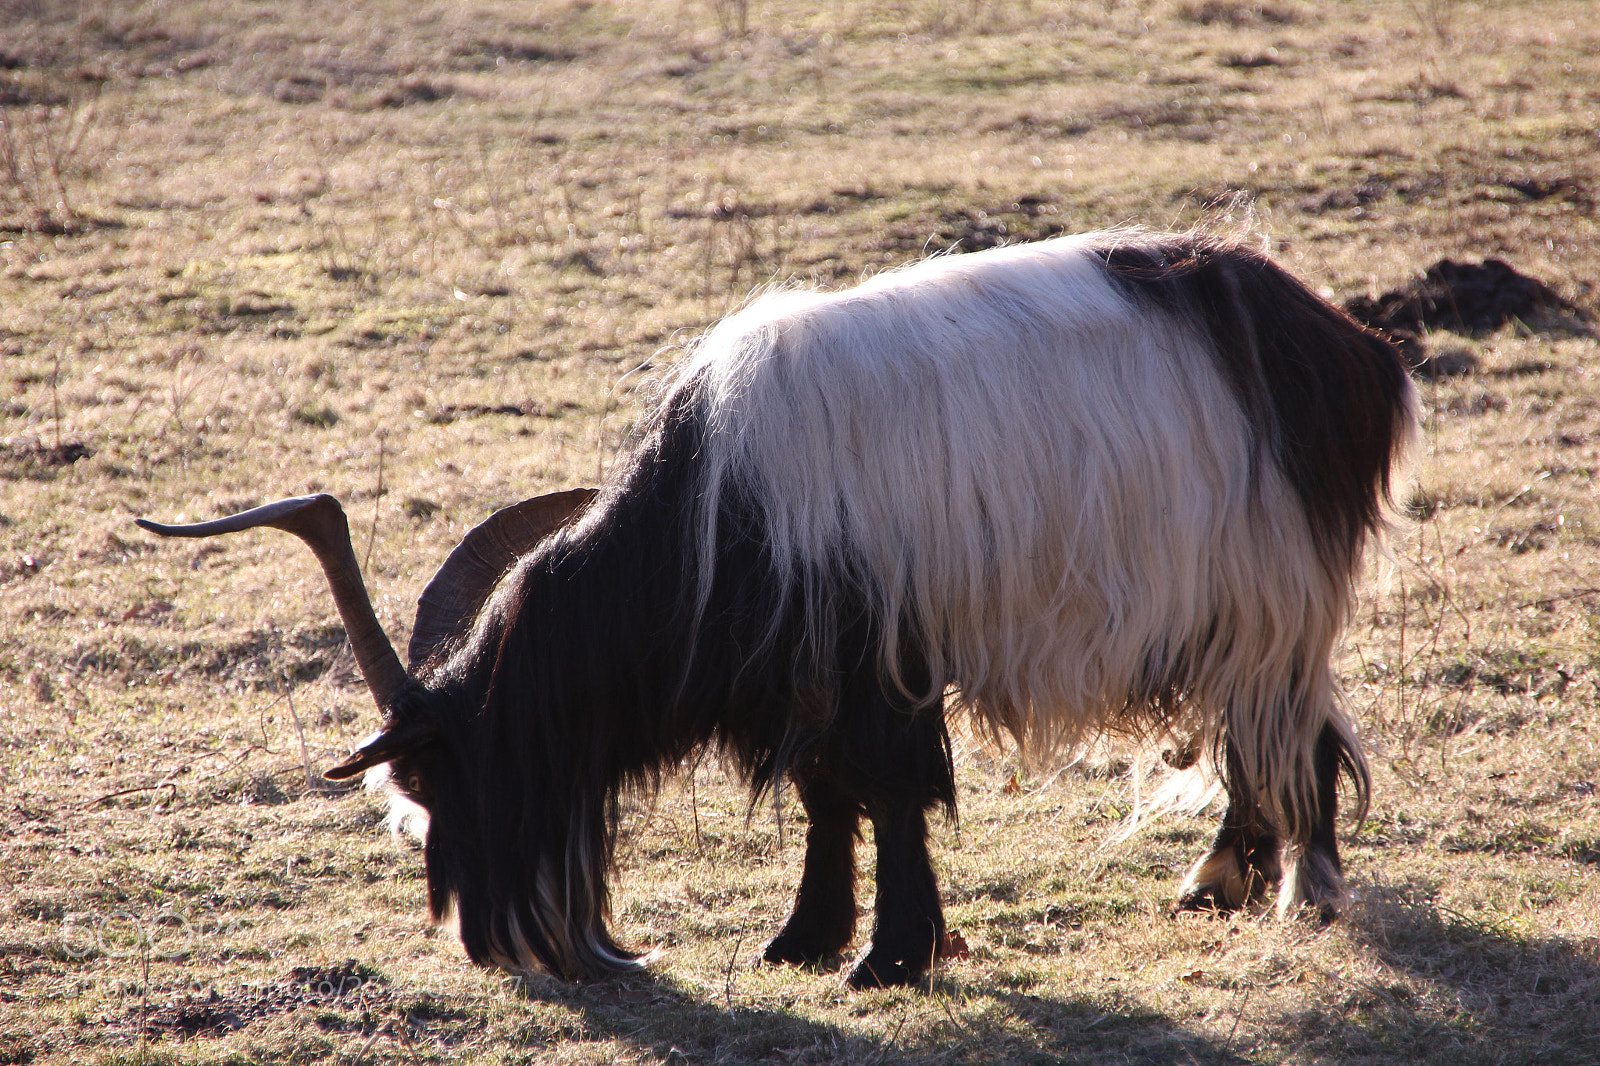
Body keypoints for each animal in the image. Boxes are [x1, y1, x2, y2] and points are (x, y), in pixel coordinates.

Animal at [138, 230, 1414, 988]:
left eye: (452, 773)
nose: (484, 941)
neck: (717, 520)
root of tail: (1356, 355)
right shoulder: (803, 678)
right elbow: (826, 797)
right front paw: (804, 938)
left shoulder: (874, 656)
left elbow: (888, 793)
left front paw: (887, 959)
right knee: (1273, 734)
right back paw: (1220, 878)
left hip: (1268, 590)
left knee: (1294, 733)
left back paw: (1299, 893)